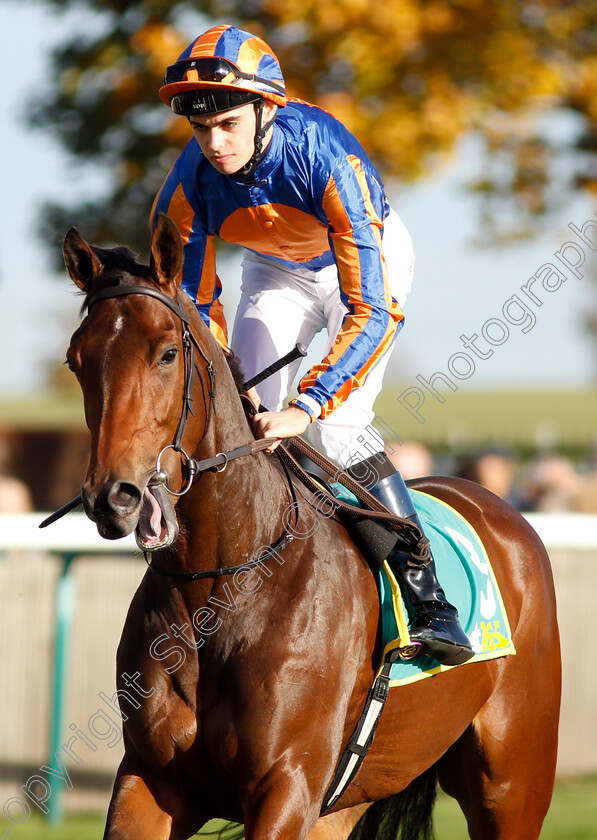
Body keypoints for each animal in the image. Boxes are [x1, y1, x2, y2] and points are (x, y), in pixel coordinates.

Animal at [62, 215, 560, 840]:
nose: (114, 496)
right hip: (346, 802)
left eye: (167, 353)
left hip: (512, 781)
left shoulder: (287, 784)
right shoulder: (152, 778)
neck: (223, 586)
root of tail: (497, 508)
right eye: (76, 361)